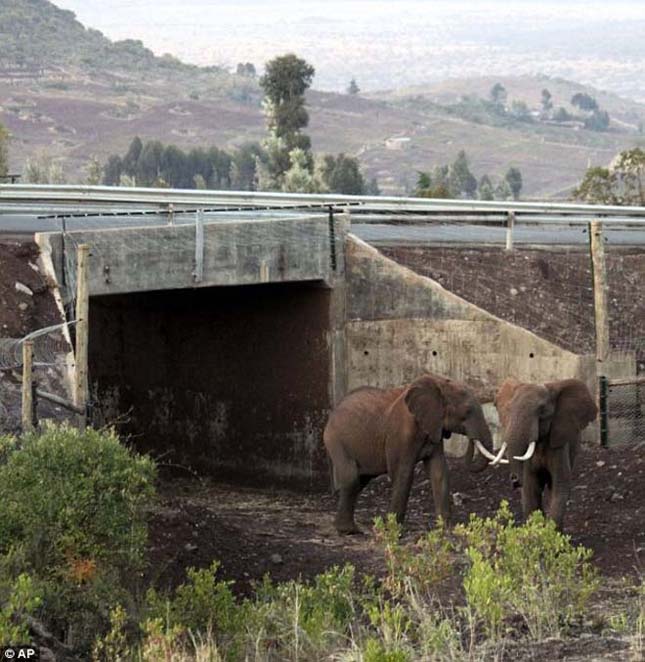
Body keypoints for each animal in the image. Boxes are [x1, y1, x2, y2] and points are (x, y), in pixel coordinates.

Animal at [322, 376, 494, 536]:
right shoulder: (401, 433)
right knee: (351, 478)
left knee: (360, 480)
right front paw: (394, 531)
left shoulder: (433, 427)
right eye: (467, 411)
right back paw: (349, 530)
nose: (472, 439)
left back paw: (347, 529)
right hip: (335, 439)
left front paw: (446, 529)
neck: (438, 383)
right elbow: (403, 474)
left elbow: (439, 472)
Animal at [490, 378, 596, 528]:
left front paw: (552, 532)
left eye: (541, 411)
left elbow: (559, 485)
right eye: (508, 410)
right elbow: (531, 488)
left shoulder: (559, 444)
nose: (514, 480)